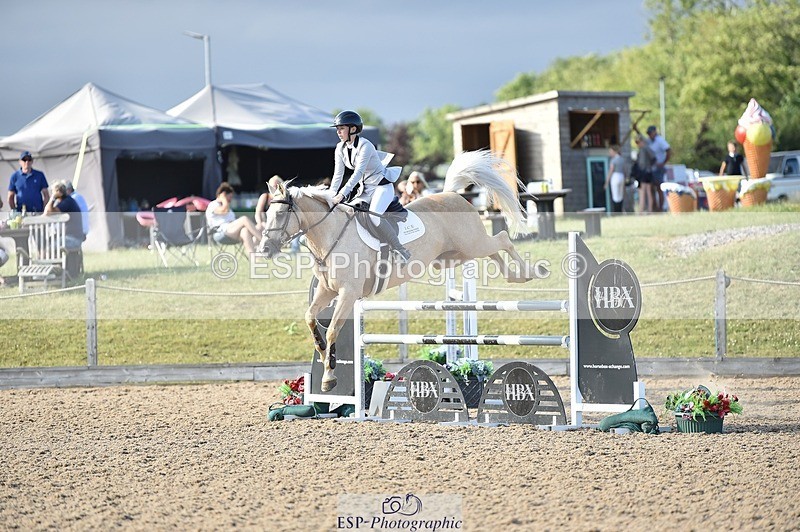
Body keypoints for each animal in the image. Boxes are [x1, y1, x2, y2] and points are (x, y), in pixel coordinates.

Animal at [258, 150, 536, 392]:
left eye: (280, 214)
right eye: (267, 212)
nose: (264, 249)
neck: (330, 234)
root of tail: (451, 194)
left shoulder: (348, 293)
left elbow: (335, 327)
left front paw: (328, 377)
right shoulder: (327, 290)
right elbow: (310, 317)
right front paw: (323, 351)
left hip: (471, 244)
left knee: (502, 240)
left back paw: (531, 272)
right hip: (453, 257)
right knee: (493, 250)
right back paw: (515, 276)